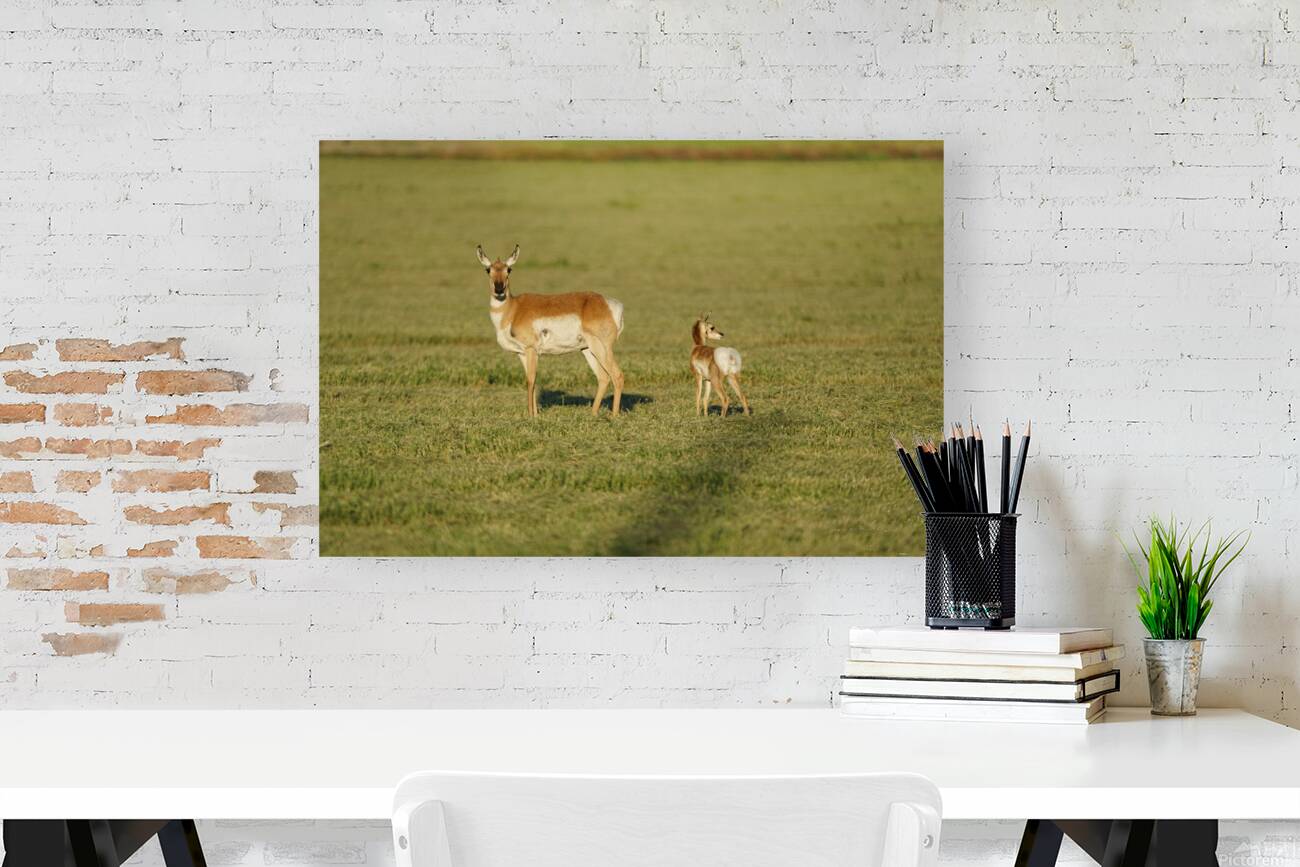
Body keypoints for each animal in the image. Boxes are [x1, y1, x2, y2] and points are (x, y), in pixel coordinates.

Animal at [477, 245, 625, 417]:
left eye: (509, 269)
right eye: (488, 269)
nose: (499, 289)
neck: (513, 309)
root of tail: (610, 304)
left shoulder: (531, 350)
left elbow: (531, 380)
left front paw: (531, 416)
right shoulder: (522, 353)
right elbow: (531, 380)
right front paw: (535, 415)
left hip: (601, 348)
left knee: (617, 375)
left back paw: (613, 416)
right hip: (588, 350)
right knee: (603, 377)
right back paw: (592, 413)